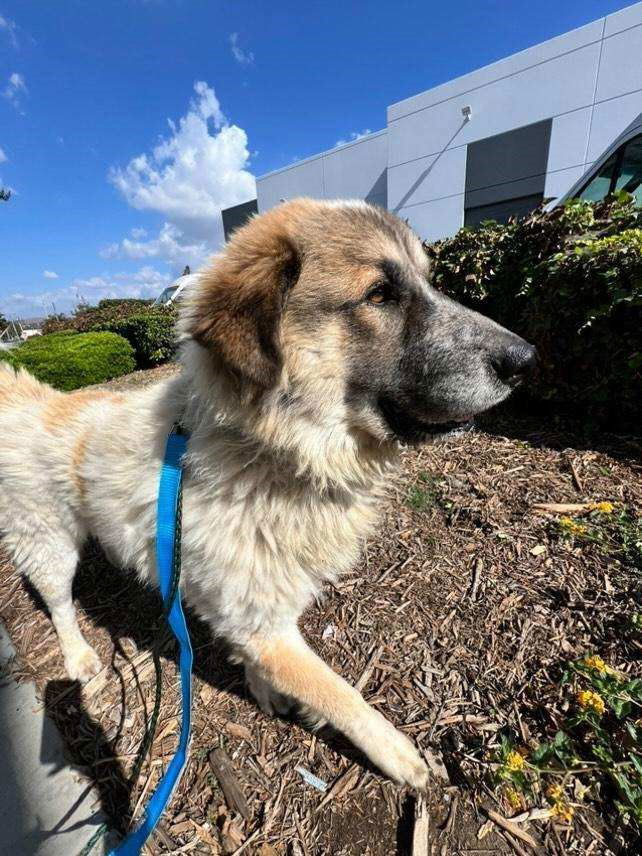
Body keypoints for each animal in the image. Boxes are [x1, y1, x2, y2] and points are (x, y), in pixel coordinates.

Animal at [0, 199, 536, 788]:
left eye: (428, 282)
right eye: (379, 295)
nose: (528, 359)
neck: (271, 453)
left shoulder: (252, 615)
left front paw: (262, 688)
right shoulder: (263, 623)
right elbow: (341, 695)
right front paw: (397, 754)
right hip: (49, 544)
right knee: (57, 602)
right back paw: (78, 657)